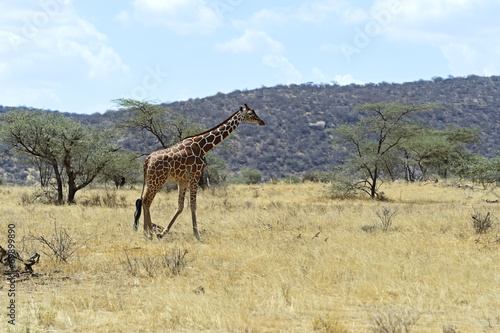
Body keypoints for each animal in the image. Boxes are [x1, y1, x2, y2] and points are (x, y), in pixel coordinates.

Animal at [133, 103, 266, 239]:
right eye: (250, 113)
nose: (262, 121)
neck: (202, 146)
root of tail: (147, 159)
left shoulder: (183, 180)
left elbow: (180, 206)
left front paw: (163, 233)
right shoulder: (195, 175)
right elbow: (193, 205)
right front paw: (197, 235)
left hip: (152, 180)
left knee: (144, 201)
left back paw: (148, 232)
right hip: (157, 179)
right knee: (146, 201)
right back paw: (148, 233)